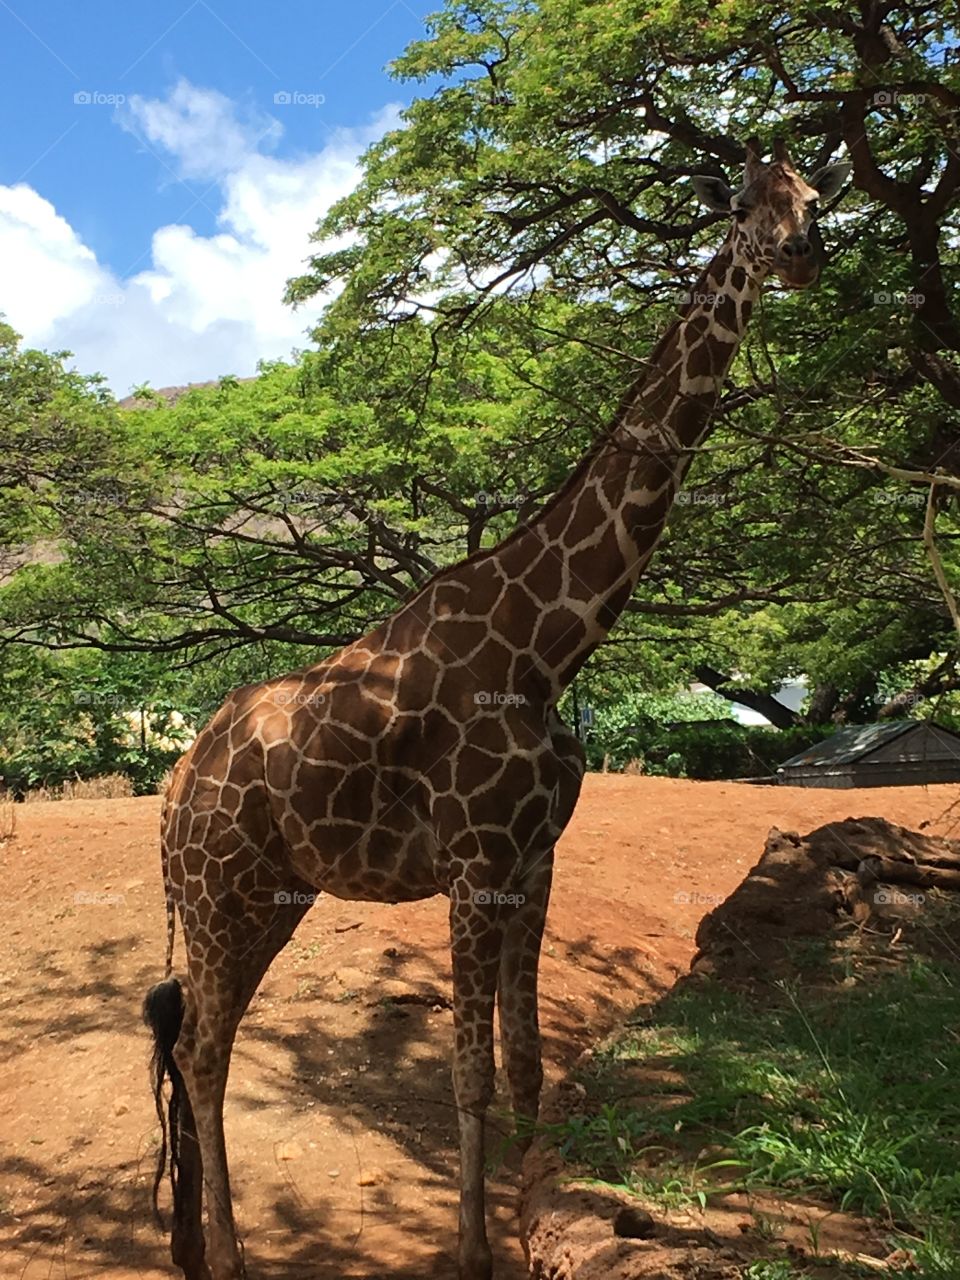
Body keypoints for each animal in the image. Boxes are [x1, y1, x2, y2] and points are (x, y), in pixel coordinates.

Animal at [143, 138, 850, 1280]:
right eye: (744, 204)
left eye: (815, 198)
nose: (800, 252)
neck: (549, 645)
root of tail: (172, 787)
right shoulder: (474, 864)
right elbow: (467, 1072)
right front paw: (475, 1251)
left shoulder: (535, 859)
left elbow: (524, 1062)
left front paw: (528, 1225)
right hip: (218, 895)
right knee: (203, 1053)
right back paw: (235, 1258)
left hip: (268, 897)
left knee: (198, 1042)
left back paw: (200, 1249)